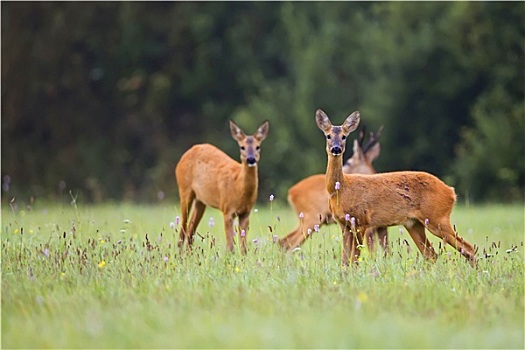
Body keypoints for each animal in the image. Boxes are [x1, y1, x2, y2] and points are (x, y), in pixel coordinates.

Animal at [175, 119, 268, 253]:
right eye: (242, 147)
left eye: (258, 146)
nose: (251, 159)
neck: (238, 187)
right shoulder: (227, 209)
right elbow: (230, 246)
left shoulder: (246, 212)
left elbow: (244, 247)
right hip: (184, 189)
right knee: (183, 228)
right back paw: (180, 254)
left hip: (200, 200)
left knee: (190, 230)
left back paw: (188, 254)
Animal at [316, 108, 474, 266]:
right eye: (328, 136)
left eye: (344, 136)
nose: (336, 148)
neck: (341, 190)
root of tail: (451, 192)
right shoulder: (344, 224)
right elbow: (345, 261)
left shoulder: (361, 221)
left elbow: (355, 259)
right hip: (414, 224)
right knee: (432, 254)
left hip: (438, 218)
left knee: (468, 248)